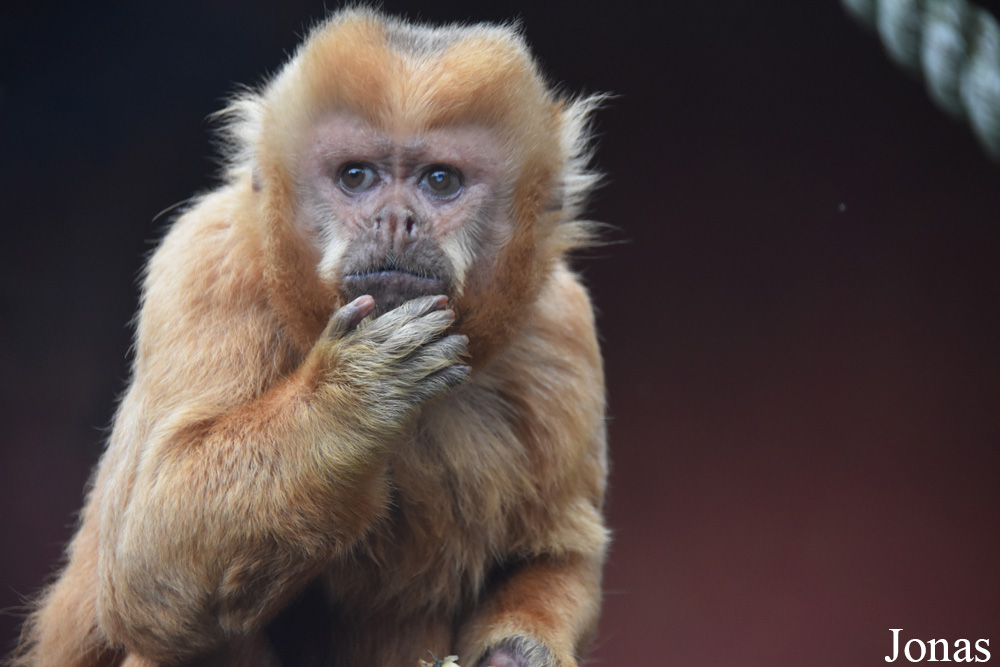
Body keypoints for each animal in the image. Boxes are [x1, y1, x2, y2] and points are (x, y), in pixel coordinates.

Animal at [11, 10, 608, 667]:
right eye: (357, 177)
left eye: (440, 181)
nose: (395, 219)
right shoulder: (208, 263)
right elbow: (144, 568)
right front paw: (352, 401)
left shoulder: (562, 327)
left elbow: (553, 555)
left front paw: (516, 653)